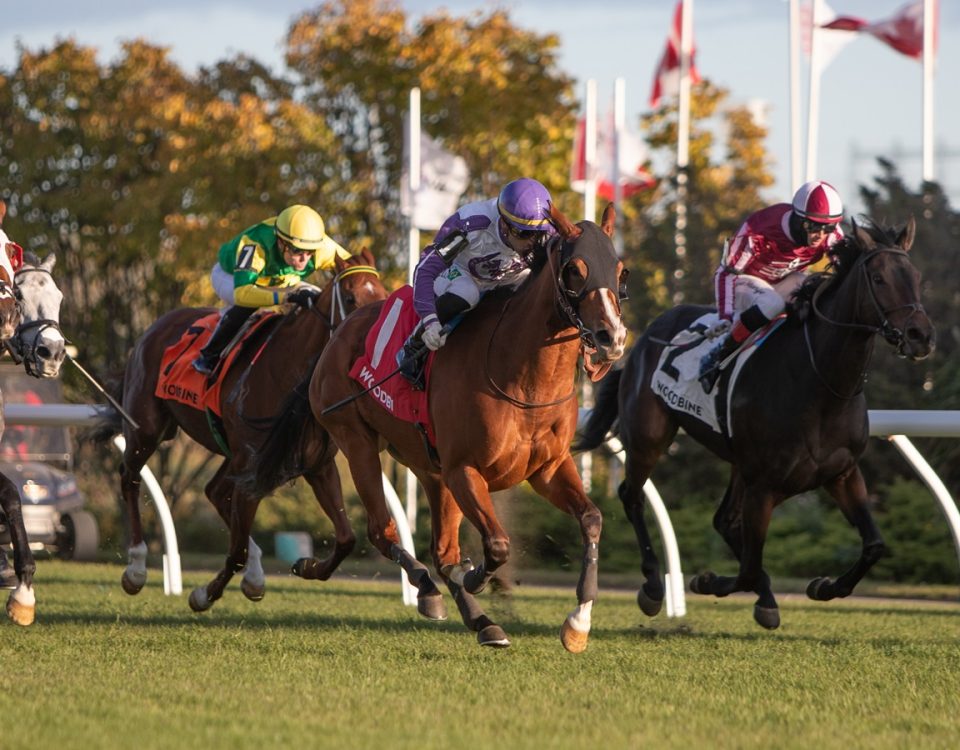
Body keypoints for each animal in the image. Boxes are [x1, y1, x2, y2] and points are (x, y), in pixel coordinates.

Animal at [104, 250, 386, 608]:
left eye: (384, 295)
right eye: (350, 298)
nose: (372, 344)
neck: (287, 371)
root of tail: (156, 325)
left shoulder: (317, 465)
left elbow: (347, 538)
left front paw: (306, 567)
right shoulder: (253, 465)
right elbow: (235, 551)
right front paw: (203, 594)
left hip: (231, 454)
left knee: (214, 492)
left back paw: (254, 575)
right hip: (146, 429)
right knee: (130, 477)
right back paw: (136, 568)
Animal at [244, 206, 628, 652]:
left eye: (619, 271)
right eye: (575, 270)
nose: (612, 337)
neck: (523, 376)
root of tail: (336, 335)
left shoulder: (546, 469)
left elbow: (591, 519)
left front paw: (578, 622)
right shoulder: (463, 471)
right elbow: (496, 545)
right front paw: (475, 576)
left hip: (428, 468)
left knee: (439, 550)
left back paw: (480, 620)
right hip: (356, 443)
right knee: (382, 530)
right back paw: (419, 588)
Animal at [572, 217, 932, 628]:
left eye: (916, 276)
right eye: (878, 278)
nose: (921, 335)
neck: (819, 382)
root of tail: (647, 335)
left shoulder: (841, 473)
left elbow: (874, 545)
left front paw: (823, 586)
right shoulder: (764, 485)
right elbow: (746, 569)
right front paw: (708, 581)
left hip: (739, 463)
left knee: (723, 521)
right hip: (650, 437)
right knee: (632, 496)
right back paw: (652, 587)